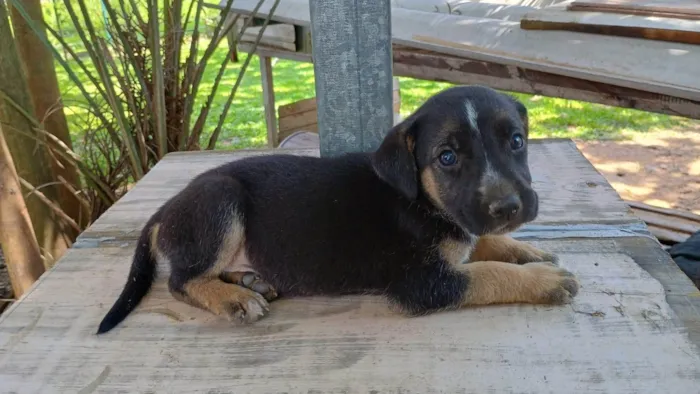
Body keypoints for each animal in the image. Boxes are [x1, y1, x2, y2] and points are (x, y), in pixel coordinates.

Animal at [97, 84, 580, 334]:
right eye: (446, 157)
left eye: (516, 141)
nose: (509, 207)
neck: (421, 199)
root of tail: (163, 211)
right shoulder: (421, 283)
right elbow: (485, 274)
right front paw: (542, 279)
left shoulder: (460, 227)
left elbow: (481, 244)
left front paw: (525, 250)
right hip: (220, 199)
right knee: (181, 281)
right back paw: (235, 298)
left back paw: (251, 281)